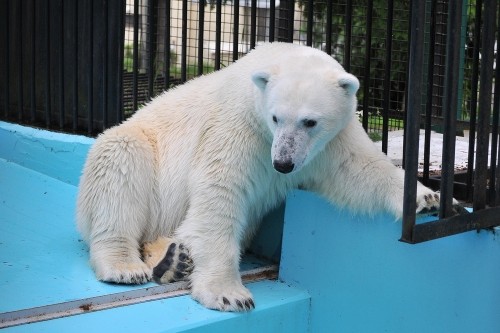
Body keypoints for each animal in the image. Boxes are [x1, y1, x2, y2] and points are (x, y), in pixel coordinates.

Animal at [77, 41, 446, 312]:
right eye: (275, 117)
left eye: (310, 121)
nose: (282, 164)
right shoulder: (238, 128)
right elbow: (220, 194)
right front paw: (229, 294)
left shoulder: (329, 144)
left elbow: (359, 169)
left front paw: (427, 197)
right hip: (141, 154)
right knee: (119, 167)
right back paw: (126, 267)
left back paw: (173, 260)